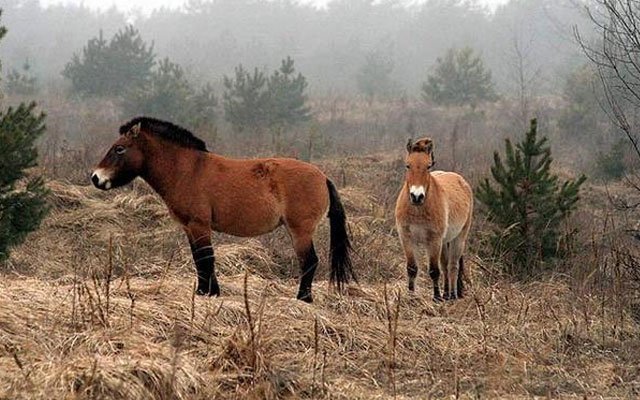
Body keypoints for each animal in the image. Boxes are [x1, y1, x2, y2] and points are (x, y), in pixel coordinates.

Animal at [92, 116, 358, 304]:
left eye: (119, 149)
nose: (96, 178)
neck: (188, 170)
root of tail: (322, 176)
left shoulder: (199, 225)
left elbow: (206, 258)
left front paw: (208, 293)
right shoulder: (189, 227)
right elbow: (198, 259)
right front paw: (205, 292)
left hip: (300, 231)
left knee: (309, 261)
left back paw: (303, 299)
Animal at [392, 138, 472, 300]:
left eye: (428, 166)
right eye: (407, 165)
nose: (417, 196)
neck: (418, 210)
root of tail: (461, 180)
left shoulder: (434, 241)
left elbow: (434, 270)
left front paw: (436, 297)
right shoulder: (407, 239)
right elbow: (412, 268)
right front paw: (411, 295)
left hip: (458, 238)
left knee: (453, 266)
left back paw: (452, 295)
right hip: (445, 241)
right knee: (445, 265)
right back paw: (446, 293)